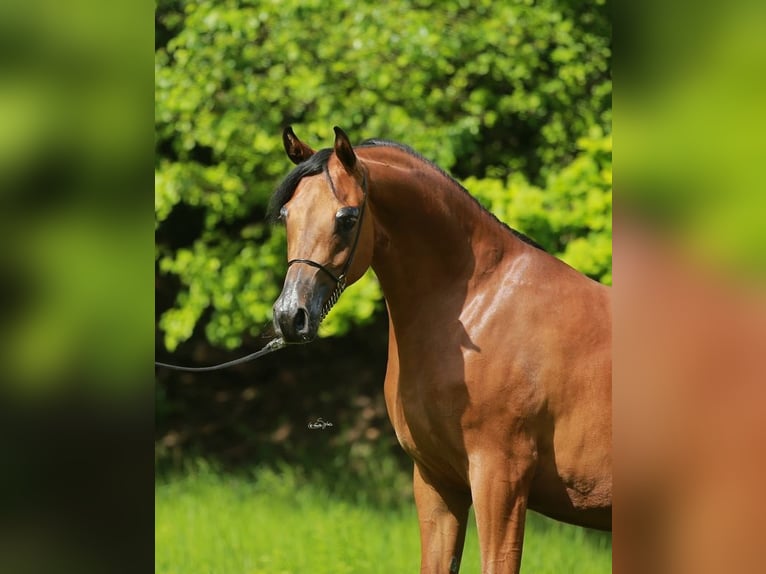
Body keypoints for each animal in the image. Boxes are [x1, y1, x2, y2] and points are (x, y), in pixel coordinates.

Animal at [270, 126, 612, 573]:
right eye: (286, 215)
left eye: (346, 218)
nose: (289, 315)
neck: (481, 306)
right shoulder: (436, 480)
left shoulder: (500, 478)